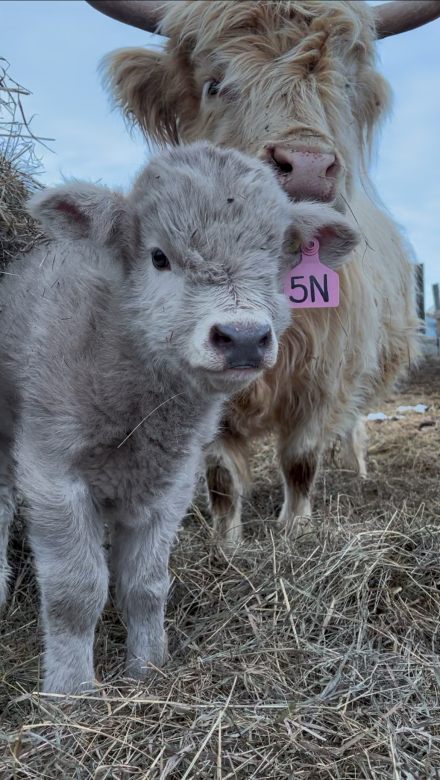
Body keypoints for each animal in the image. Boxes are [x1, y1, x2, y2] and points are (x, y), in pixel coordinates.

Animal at [0, 142, 360, 692]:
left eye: (277, 262)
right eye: (158, 257)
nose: (243, 338)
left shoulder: (171, 482)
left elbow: (146, 585)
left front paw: (149, 669)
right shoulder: (53, 473)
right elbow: (75, 591)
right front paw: (71, 689)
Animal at [87, 0, 437, 545]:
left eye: (344, 87)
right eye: (214, 84)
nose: (309, 168)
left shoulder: (324, 375)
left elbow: (300, 459)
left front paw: (296, 528)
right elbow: (222, 474)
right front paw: (226, 540)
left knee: (354, 423)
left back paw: (357, 470)